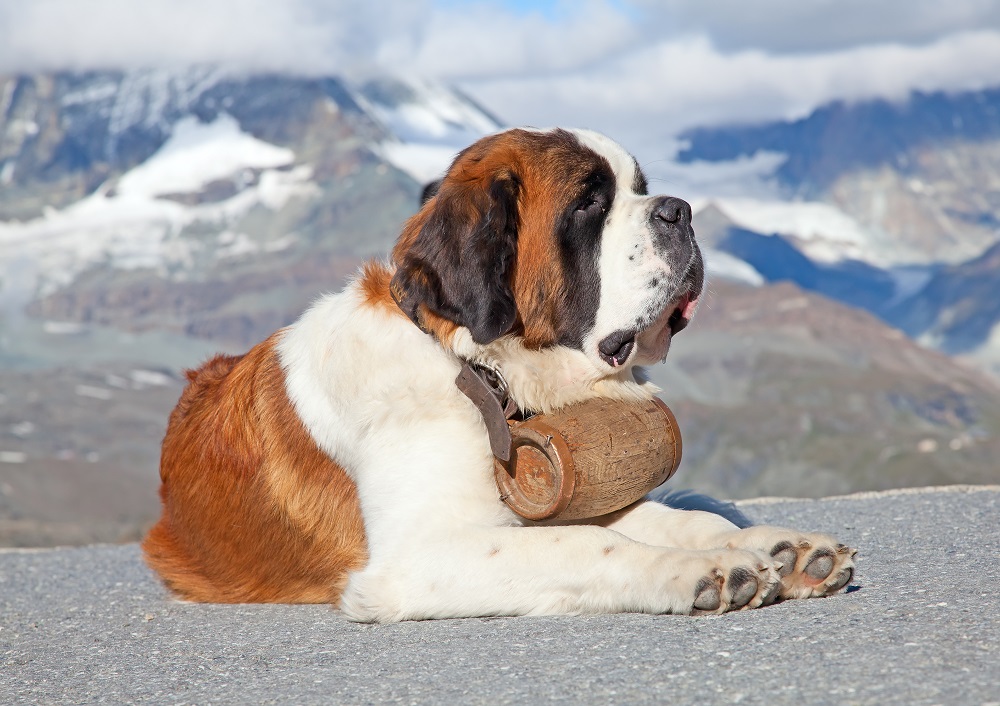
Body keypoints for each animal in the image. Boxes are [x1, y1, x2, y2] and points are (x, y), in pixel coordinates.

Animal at [145, 128, 856, 620]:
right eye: (589, 204)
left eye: (640, 188)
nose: (679, 209)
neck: (481, 371)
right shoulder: (419, 554)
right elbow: (584, 545)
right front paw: (700, 571)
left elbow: (667, 519)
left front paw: (774, 549)